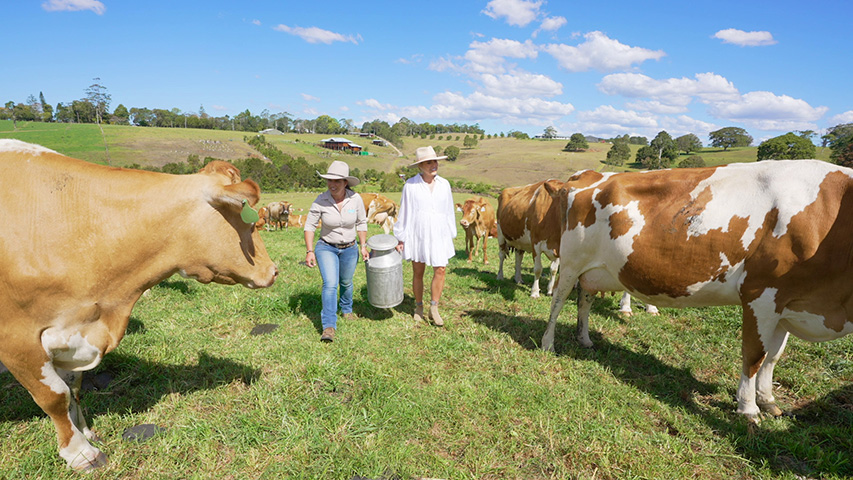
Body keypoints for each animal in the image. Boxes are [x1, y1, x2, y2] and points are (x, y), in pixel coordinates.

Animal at [0, 139, 278, 468]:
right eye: (250, 222)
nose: (274, 270)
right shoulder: (17, 340)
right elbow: (55, 396)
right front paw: (79, 452)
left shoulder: (72, 333)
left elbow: (74, 388)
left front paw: (85, 432)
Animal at [544, 160, 852, 420]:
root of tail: (589, 175)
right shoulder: (760, 295)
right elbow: (754, 356)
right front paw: (748, 408)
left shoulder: (787, 303)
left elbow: (773, 356)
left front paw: (767, 400)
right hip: (571, 262)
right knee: (558, 301)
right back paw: (548, 343)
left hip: (594, 271)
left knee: (584, 300)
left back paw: (584, 339)